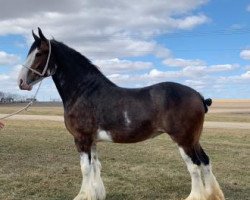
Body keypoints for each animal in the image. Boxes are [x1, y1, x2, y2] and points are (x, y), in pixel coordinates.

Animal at [17, 28, 225, 200]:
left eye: (39, 53)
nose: (21, 82)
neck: (84, 91)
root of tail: (198, 96)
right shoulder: (92, 141)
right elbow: (95, 166)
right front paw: (96, 194)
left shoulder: (81, 139)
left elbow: (85, 169)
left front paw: (83, 195)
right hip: (193, 139)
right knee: (205, 162)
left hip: (183, 139)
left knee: (194, 167)